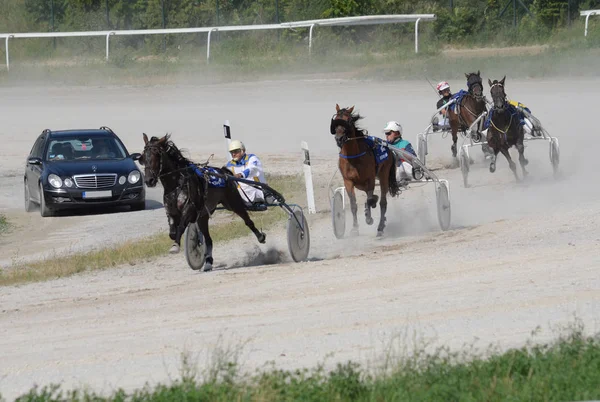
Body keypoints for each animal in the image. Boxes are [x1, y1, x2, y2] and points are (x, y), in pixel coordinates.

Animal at [142, 133, 266, 272]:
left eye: (156, 154)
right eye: (143, 156)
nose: (149, 180)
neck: (176, 185)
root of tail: (224, 172)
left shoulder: (189, 208)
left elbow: (181, 226)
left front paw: (175, 247)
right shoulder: (171, 211)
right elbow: (173, 232)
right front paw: (182, 243)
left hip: (233, 203)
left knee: (247, 221)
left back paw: (260, 236)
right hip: (203, 216)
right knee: (208, 239)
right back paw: (208, 262)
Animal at [330, 104, 400, 239]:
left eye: (348, 120)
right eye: (336, 120)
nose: (339, 138)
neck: (353, 156)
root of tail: (388, 148)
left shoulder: (370, 179)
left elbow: (370, 199)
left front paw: (369, 217)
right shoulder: (348, 181)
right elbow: (353, 205)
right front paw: (354, 229)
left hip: (383, 175)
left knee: (383, 202)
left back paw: (380, 227)